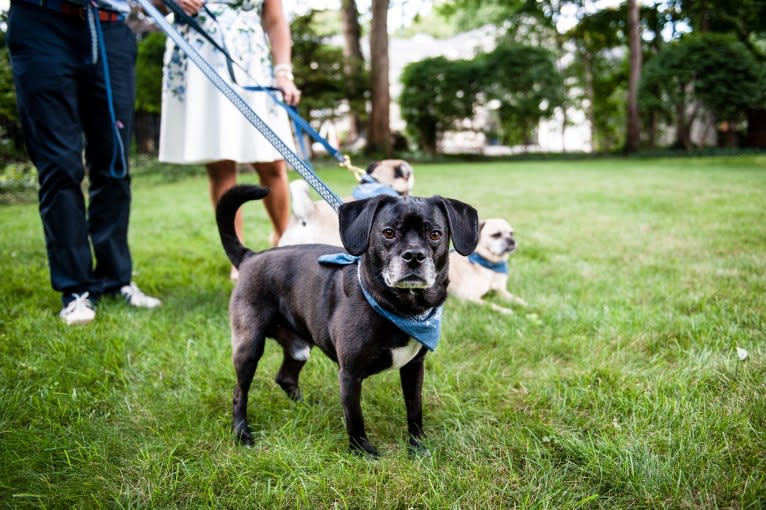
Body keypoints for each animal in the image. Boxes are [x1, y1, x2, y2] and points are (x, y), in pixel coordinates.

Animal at [218, 185, 480, 456]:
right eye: (388, 232)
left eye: (435, 235)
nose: (414, 256)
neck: (401, 308)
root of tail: (250, 257)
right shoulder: (350, 375)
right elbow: (355, 417)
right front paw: (362, 451)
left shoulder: (414, 367)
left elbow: (414, 409)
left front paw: (417, 447)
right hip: (249, 347)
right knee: (239, 393)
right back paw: (242, 433)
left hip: (299, 347)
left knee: (286, 377)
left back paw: (307, 408)